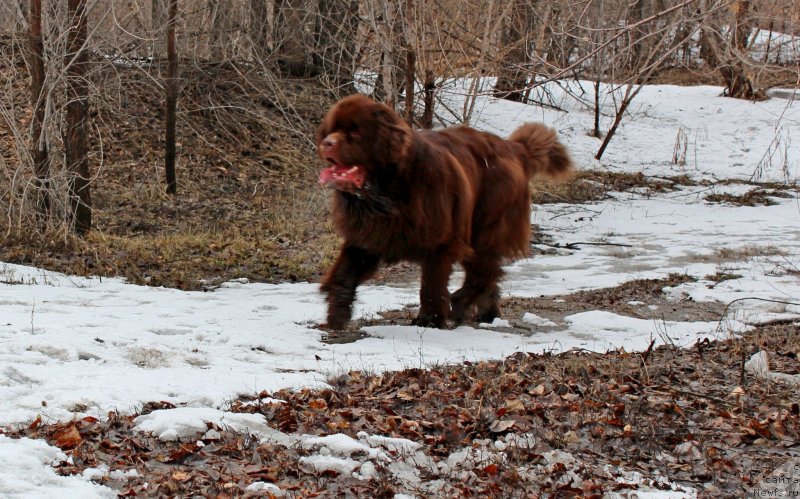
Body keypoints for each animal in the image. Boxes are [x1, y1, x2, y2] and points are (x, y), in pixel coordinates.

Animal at [316, 95, 572, 330]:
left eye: (356, 132)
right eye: (333, 129)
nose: (327, 143)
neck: (387, 192)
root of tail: (513, 148)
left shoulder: (440, 242)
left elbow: (431, 285)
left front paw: (429, 320)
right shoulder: (368, 235)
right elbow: (344, 272)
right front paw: (337, 314)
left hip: (486, 227)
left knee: (483, 274)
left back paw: (459, 305)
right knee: (488, 275)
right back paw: (487, 314)